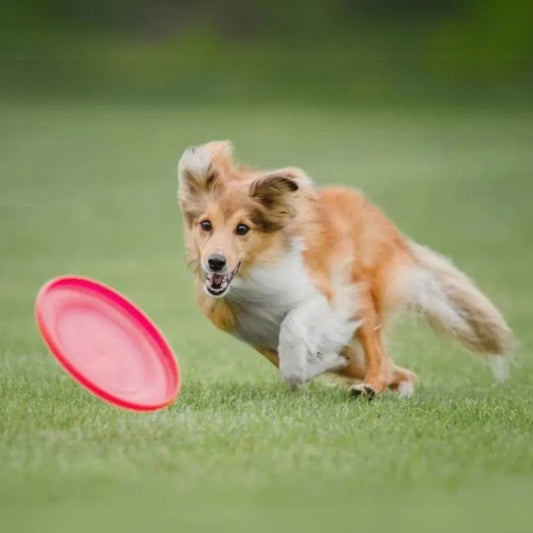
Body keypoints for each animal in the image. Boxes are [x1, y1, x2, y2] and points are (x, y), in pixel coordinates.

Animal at [177, 139, 512, 396]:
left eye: (243, 229)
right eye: (205, 225)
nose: (215, 262)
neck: (251, 277)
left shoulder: (328, 297)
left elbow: (293, 333)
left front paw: (320, 361)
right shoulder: (256, 336)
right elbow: (293, 370)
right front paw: (325, 363)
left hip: (362, 294)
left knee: (380, 358)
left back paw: (370, 387)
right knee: (399, 369)